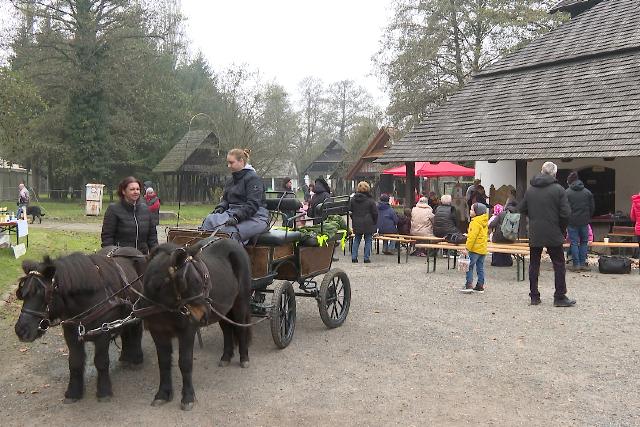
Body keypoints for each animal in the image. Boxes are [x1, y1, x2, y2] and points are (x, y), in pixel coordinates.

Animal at [13, 247, 146, 404]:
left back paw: (136, 358)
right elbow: (74, 363)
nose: (21, 330)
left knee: (136, 330)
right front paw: (73, 392)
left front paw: (104, 391)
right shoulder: (71, 335)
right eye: (23, 293)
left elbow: (101, 361)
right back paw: (126, 357)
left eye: (43, 294)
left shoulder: (103, 332)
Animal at [142, 237, 252, 412]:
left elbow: (185, 363)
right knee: (227, 329)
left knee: (240, 328)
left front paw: (187, 397)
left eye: (200, 280)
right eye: (186, 281)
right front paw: (162, 394)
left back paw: (244, 358)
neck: (164, 305)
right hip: (223, 310)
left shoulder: (187, 331)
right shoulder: (158, 332)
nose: (204, 313)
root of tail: (234, 244)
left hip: (240, 304)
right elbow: (164, 362)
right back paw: (226, 356)